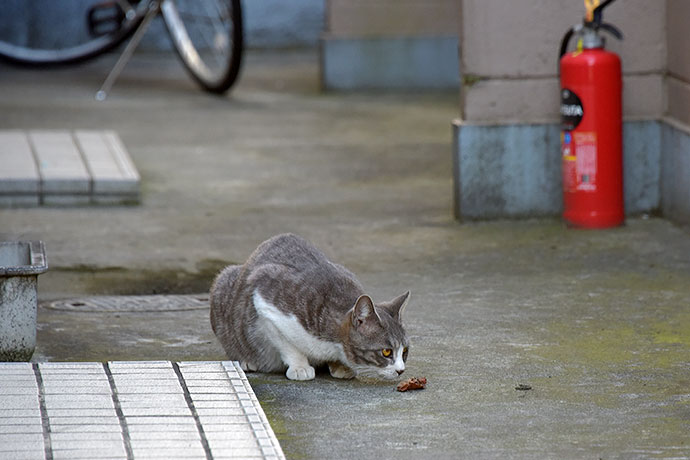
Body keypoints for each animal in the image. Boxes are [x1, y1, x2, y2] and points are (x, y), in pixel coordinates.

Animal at [207, 234, 406, 380]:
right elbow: (287, 344)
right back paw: (246, 360)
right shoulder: (266, 303)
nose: (401, 370)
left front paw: (340, 366)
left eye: (405, 351)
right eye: (386, 352)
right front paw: (300, 367)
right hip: (224, 283)